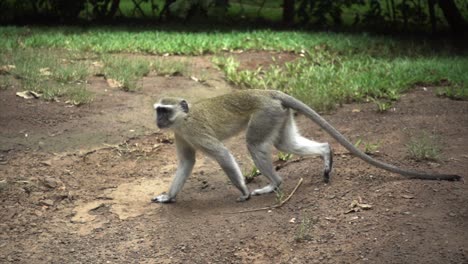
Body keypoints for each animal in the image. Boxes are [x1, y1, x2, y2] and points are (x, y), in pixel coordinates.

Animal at [153, 89, 460, 203]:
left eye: (164, 111)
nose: (157, 120)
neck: (183, 118)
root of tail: (268, 92)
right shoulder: (180, 135)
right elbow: (187, 163)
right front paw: (168, 197)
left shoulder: (192, 130)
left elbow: (222, 154)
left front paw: (243, 191)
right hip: (278, 115)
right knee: (284, 142)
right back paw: (325, 152)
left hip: (265, 115)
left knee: (254, 144)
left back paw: (274, 184)